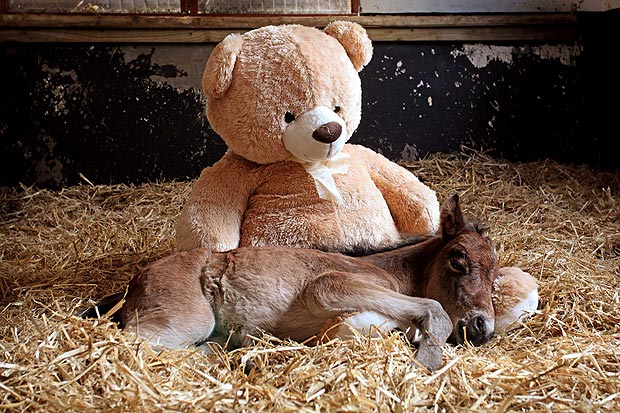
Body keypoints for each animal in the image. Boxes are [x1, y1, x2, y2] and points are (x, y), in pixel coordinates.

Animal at [82, 193, 498, 370]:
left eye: (495, 276)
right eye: (458, 260)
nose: (483, 327)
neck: (390, 271)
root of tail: (136, 280)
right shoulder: (330, 286)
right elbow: (433, 310)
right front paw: (426, 359)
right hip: (185, 319)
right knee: (129, 343)